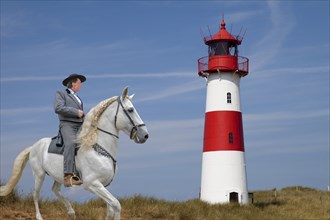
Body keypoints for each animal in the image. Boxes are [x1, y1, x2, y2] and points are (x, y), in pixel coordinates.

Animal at [0, 87, 148, 219]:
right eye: (130, 110)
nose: (145, 135)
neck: (97, 147)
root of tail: (34, 146)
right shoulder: (92, 184)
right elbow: (116, 205)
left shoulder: (103, 185)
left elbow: (110, 209)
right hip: (39, 174)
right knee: (35, 194)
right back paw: (39, 217)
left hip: (59, 175)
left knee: (55, 190)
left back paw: (71, 212)